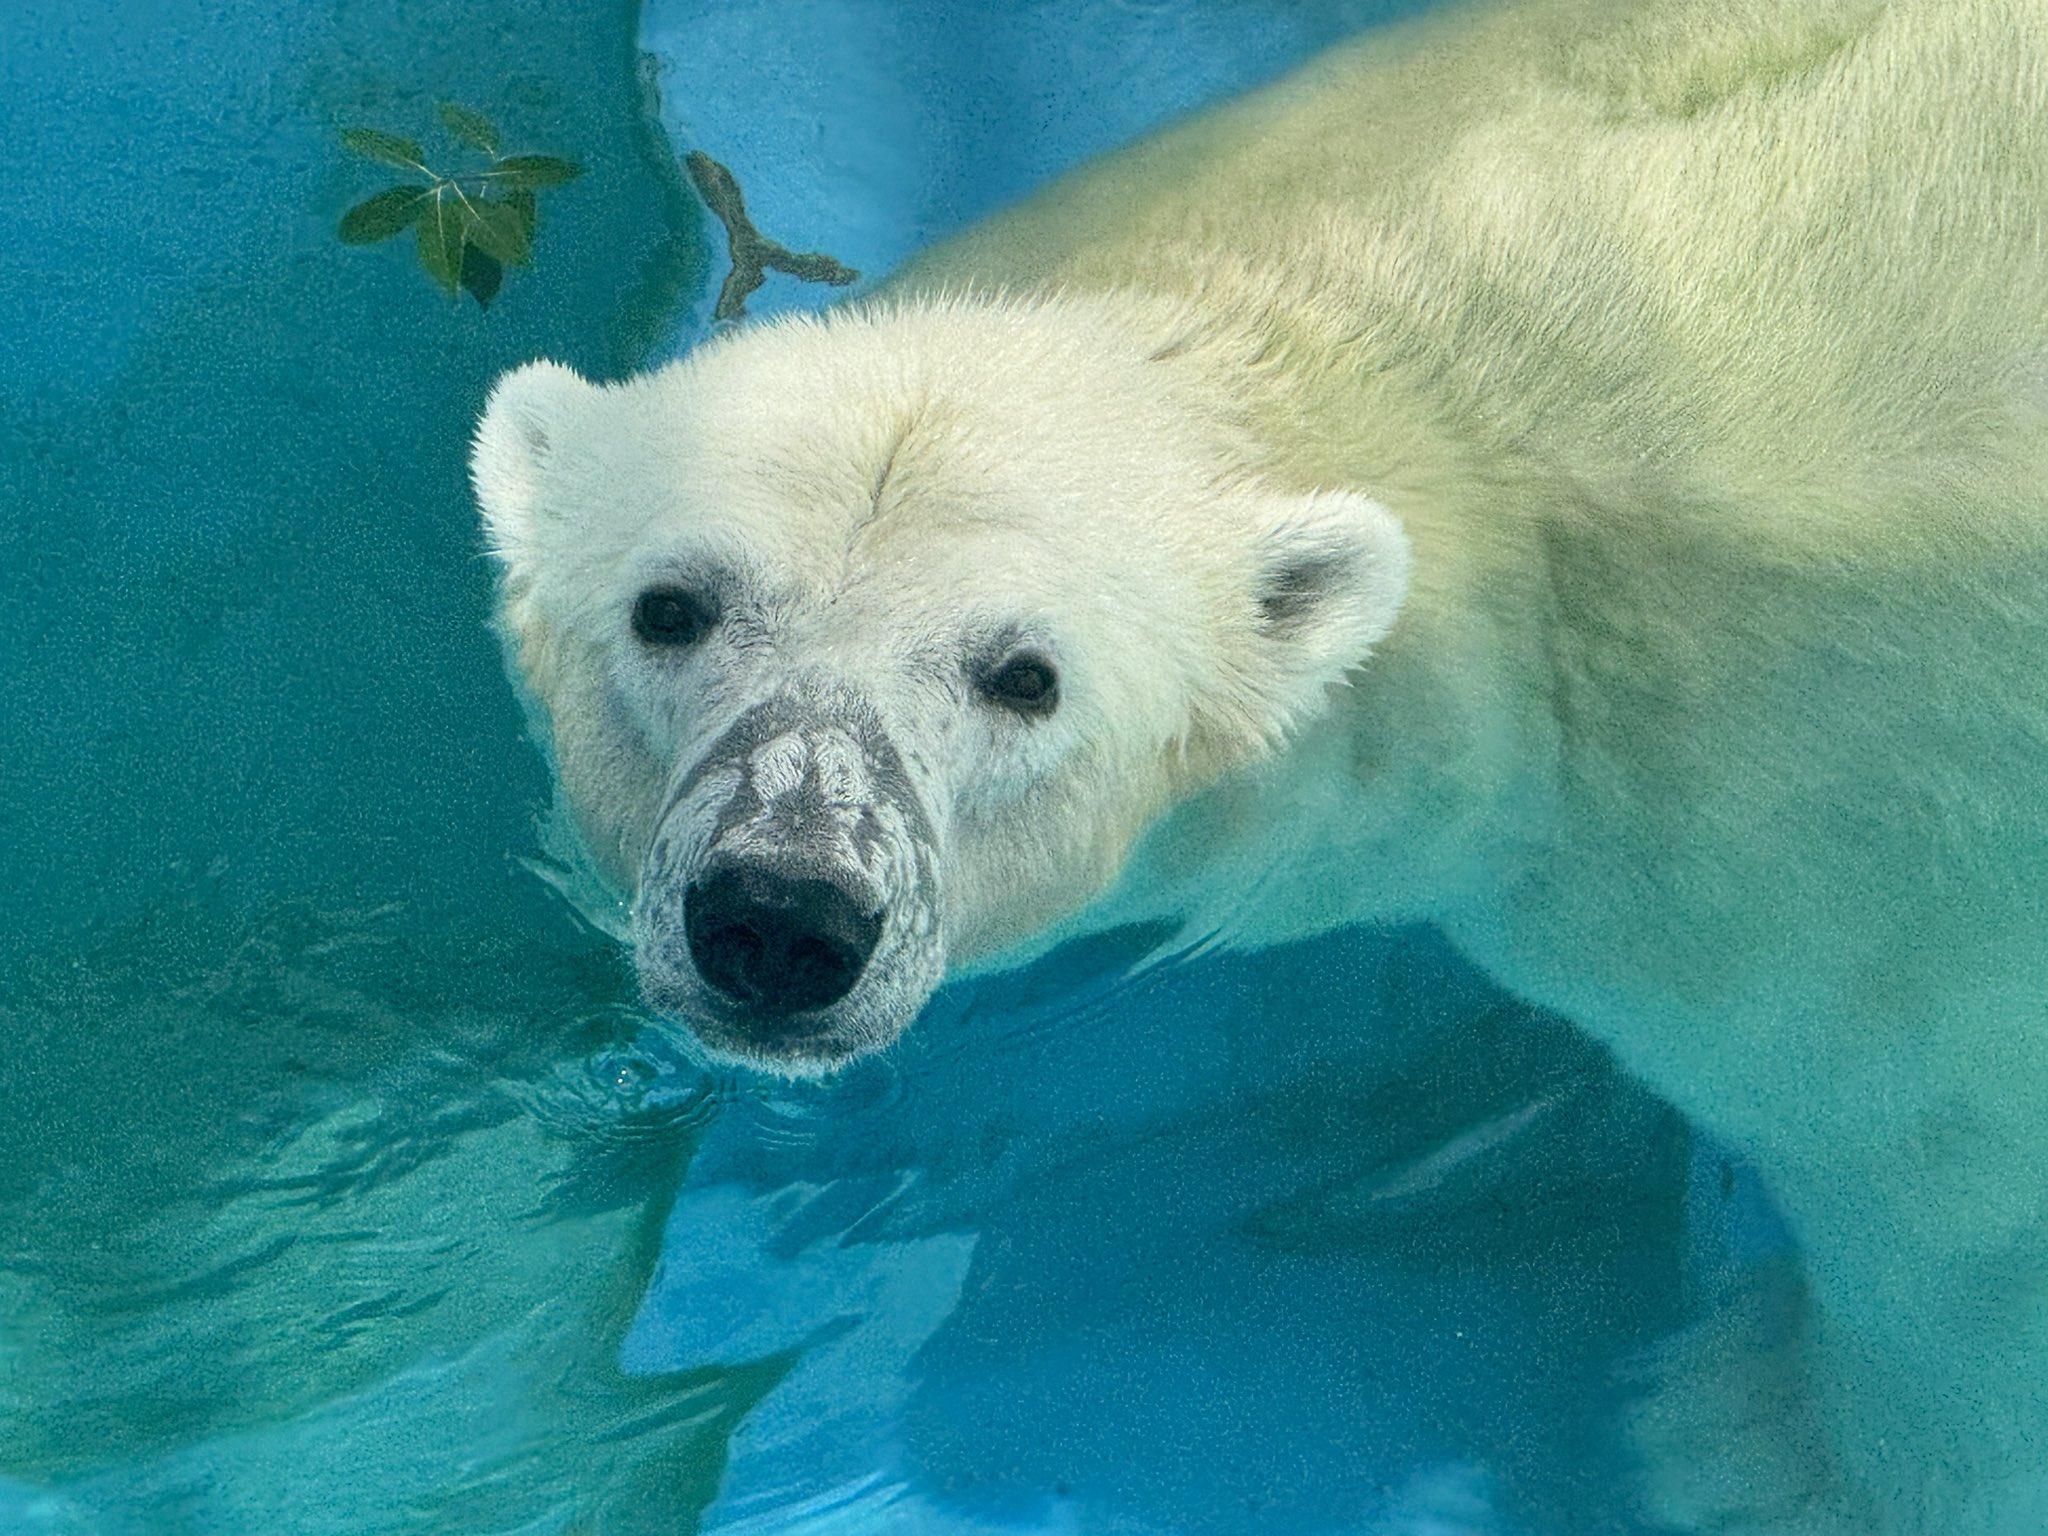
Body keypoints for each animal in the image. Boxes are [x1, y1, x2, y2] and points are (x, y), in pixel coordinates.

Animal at [469, 0, 2048, 1530]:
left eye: (1025, 676)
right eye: (671, 607)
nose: (783, 914)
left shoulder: (1810, 848)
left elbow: (1958, 1220)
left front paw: (1763, 1453)